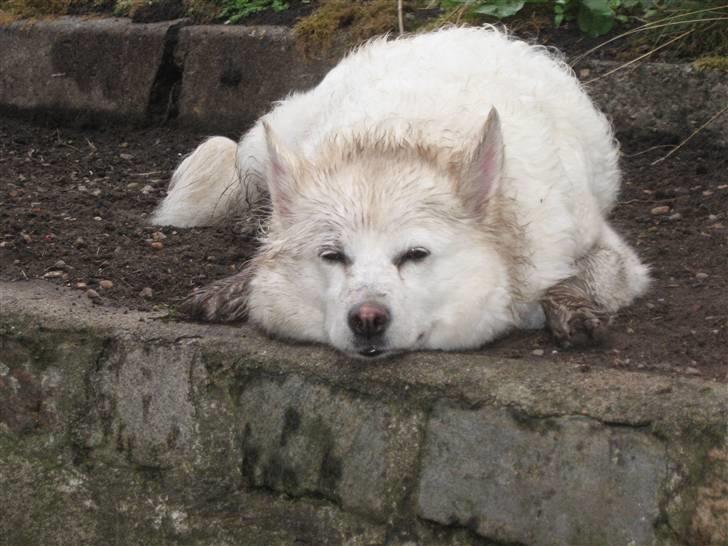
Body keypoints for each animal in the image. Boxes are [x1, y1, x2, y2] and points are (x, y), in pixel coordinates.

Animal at [152, 26, 648, 356]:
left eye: (415, 255)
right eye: (333, 256)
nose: (367, 319)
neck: (395, 140)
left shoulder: (614, 255)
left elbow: (571, 282)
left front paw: (573, 310)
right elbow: (260, 261)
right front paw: (233, 287)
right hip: (269, 144)